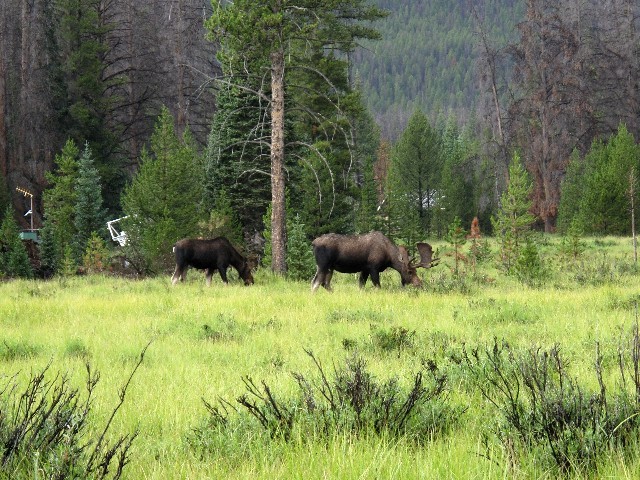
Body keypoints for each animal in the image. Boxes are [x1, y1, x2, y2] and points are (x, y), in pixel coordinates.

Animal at [308, 231, 438, 290]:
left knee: (325, 283)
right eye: (410, 272)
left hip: (330, 267)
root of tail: (314, 243)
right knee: (315, 283)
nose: (419, 284)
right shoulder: (373, 268)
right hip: (323, 265)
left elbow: (361, 285)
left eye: (416, 272)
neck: (389, 257)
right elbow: (378, 286)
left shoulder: (364, 269)